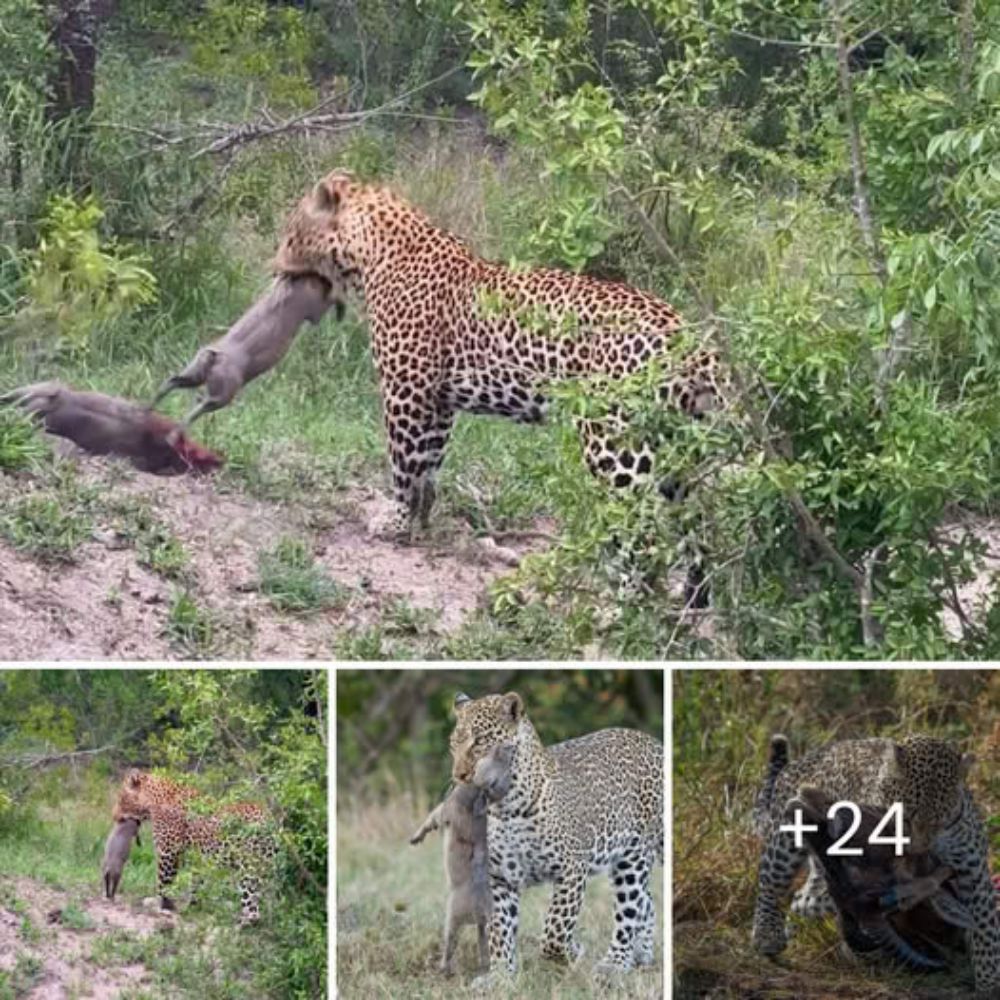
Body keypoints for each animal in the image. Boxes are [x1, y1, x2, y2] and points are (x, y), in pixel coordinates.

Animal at [111, 768, 278, 924]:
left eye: (121, 799)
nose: (114, 817)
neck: (154, 800)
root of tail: (269, 821)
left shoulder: (168, 852)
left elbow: (163, 881)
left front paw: (159, 904)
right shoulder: (197, 857)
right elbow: (196, 883)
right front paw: (192, 907)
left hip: (249, 867)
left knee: (252, 903)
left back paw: (244, 922)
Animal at [272, 170, 728, 600]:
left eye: (290, 231)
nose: (272, 266)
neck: (372, 254)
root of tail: (685, 333)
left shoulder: (406, 391)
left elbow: (403, 464)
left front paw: (393, 523)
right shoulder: (439, 403)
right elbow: (428, 465)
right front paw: (421, 523)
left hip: (617, 447)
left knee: (641, 533)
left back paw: (626, 605)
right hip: (678, 446)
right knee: (697, 522)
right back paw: (693, 598)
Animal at [448, 692, 664, 980]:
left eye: (480, 741)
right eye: (453, 744)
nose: (459, 776)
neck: (506, 808)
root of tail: (655, 744)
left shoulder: (571, 869)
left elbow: (555, 930)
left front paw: (572, 951)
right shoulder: (498, 877)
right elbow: (500, 931)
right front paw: (501, 976)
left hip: (633, 856)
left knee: (629, 910)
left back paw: (614, 964)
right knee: (646, 902)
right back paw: (640, 957)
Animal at [752, 732, 1000, 996]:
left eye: (939, 824)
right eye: (906, 818)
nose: (918, 853)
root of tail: (798, 762)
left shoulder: (973, 870)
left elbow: (984, 926)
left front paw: (989, 982)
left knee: (803, 896)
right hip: (784, 841)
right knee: (771, 881)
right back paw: (767, 935)